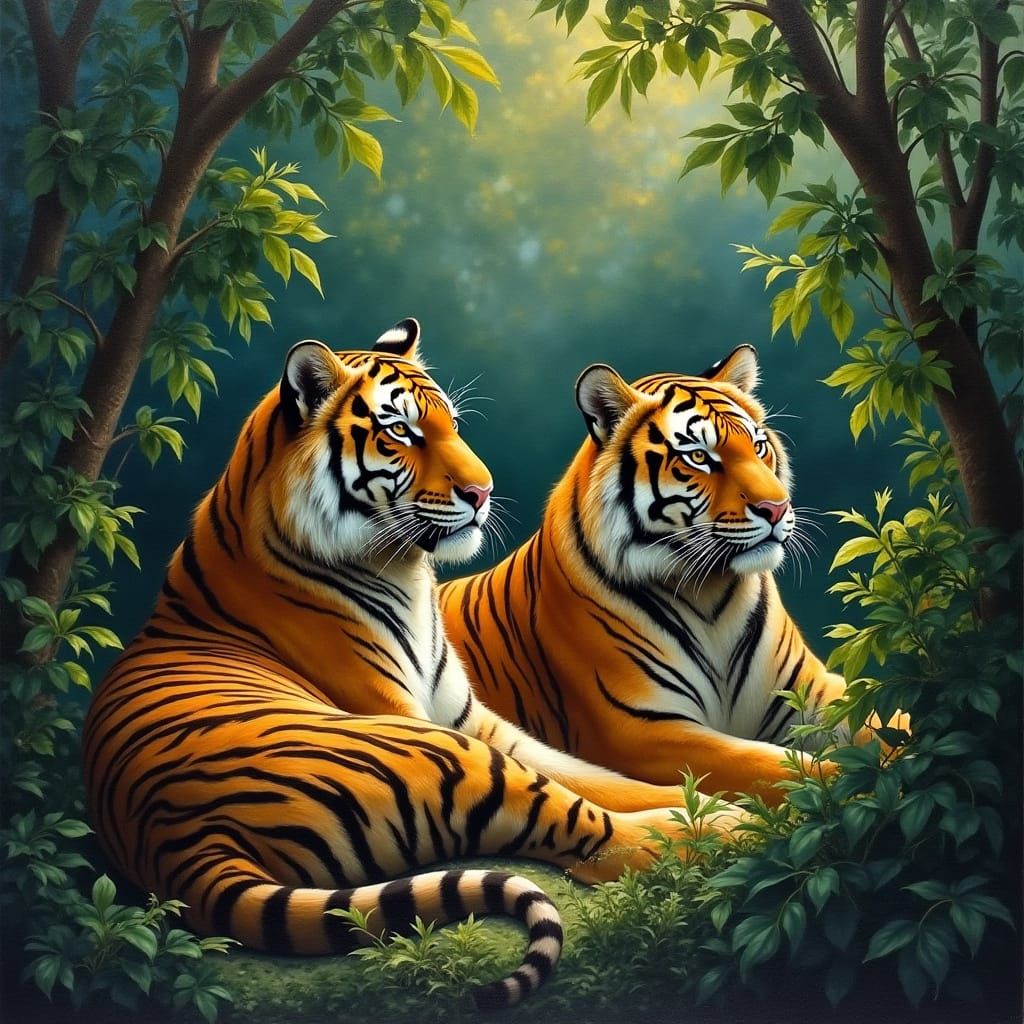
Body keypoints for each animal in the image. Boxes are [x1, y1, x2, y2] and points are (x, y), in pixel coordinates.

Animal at [82, 320, 744, 1010]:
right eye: (400, 431)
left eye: (451, 423)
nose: (482, 493)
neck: (405, 573)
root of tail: (174, 842)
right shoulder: (428, 721)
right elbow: (581, 789)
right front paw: (714, 808)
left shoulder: (476, 720)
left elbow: (595, 774)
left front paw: (697, 792)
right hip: (436, 751)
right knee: (587, 835)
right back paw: (725, 832)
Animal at [439, 345, 857, 806]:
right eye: (699, 457)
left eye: (759, 446)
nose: (777, 508)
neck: (712, 596)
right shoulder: (641, 729)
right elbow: (773, 763)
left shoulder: (811, 689)